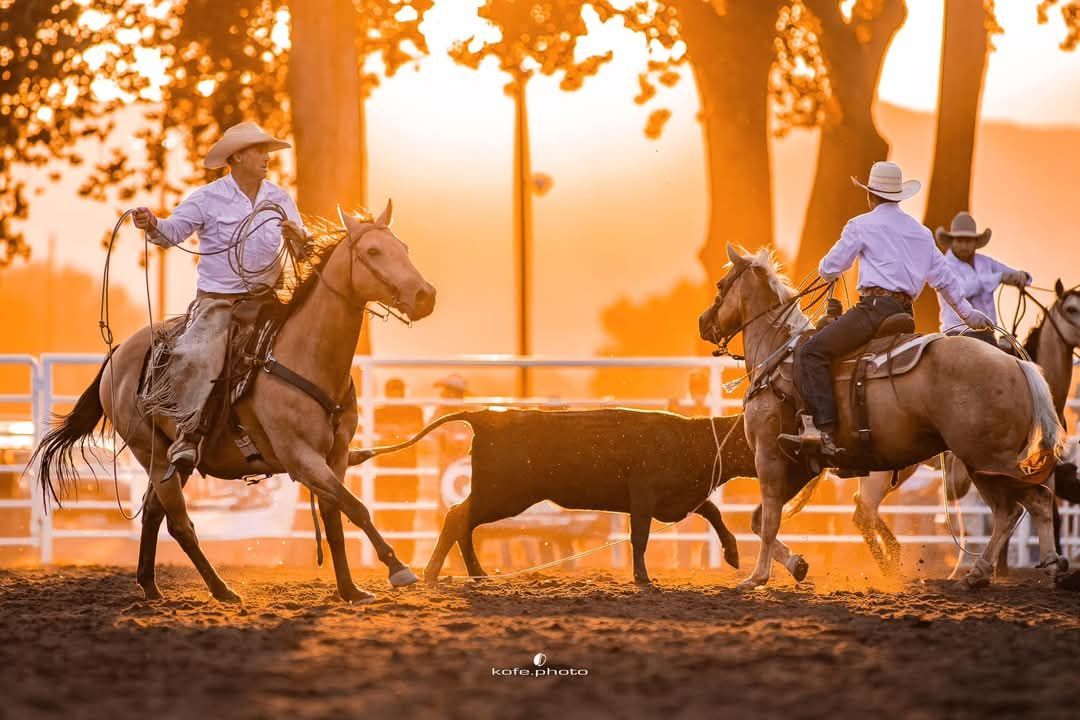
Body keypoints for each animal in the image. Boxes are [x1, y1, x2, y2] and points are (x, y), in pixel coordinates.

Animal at [29, 201, 434, 604]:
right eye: (373, 251)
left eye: (404, 248)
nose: (425, 295)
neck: (305, 355)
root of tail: (117, 354)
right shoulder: (300, 457)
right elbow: (357, 507)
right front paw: (398, 568)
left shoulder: (336, 455)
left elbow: (336, 516)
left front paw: (351, 589)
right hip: (149, 451)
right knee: (179, 523)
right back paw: (221, 589)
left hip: (172, 461)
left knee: (153, 513)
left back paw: (151, 585)